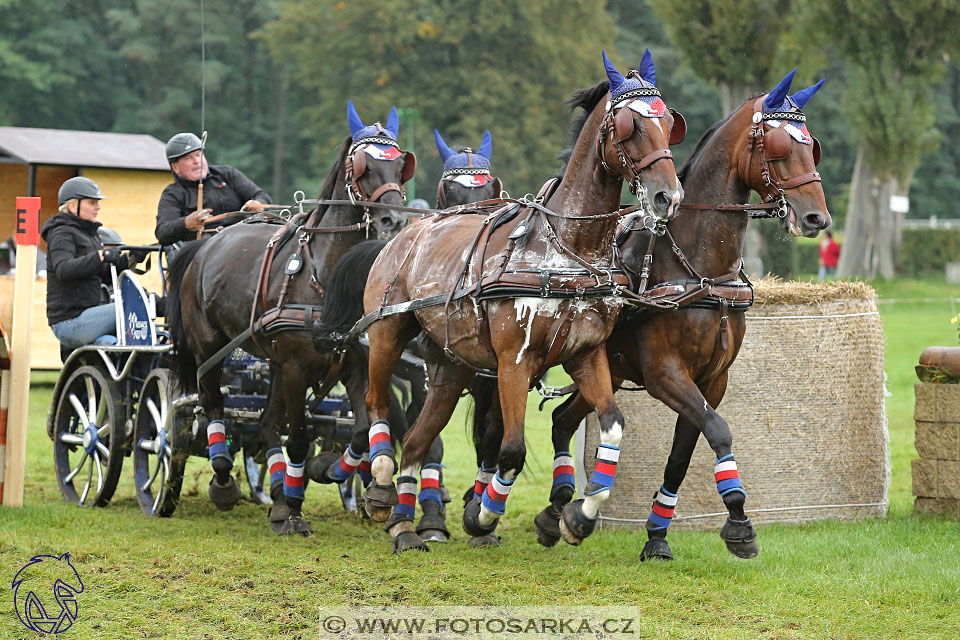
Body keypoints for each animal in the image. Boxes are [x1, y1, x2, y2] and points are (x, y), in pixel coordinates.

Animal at [162, 102, 416, 536]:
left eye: (401, 165)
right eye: (361, 165)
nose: (394, 222)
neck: (325, 278)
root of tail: (204, 247)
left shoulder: (355, 363)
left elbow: (361, 430)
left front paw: (329, 471)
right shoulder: (297, 367)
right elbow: (296, 436)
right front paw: (295, 512)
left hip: (275, 363)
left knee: (265, 424)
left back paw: (280, 491)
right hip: (210, 348)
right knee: (212, 404)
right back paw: (225, 479)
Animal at [314, 127, 510, 544]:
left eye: (489, 189)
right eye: (449, 191)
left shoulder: (495, 376)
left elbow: (491, 434)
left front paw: (476, 514)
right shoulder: (425, 377)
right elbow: (426, 439)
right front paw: (428, 514)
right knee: (377, 414)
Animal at [360, 50, 684, 552]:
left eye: (669, 122)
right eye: (629, 125)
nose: (668, 196)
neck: (568, 250)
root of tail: (408, 231)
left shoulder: (586, 354)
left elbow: (612, 425)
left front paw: (578, 516)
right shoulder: (514, 360)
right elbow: (510, 450)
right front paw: (481, 516)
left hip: (452, 366)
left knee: (416, 440)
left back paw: (404, 523)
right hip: (386, 332)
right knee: (377, 403)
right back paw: (379, 484)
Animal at [532, 67, 832, 560]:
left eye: (812, 145)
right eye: (779, 146)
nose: (817, 219)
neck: (699, 268)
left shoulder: (713, 379)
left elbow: (682, 453)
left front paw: (657, 534)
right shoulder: (666, 374)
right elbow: (719, 431)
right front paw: (739, 521)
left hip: (608, 368)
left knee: (561, 420)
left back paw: (557, 511)